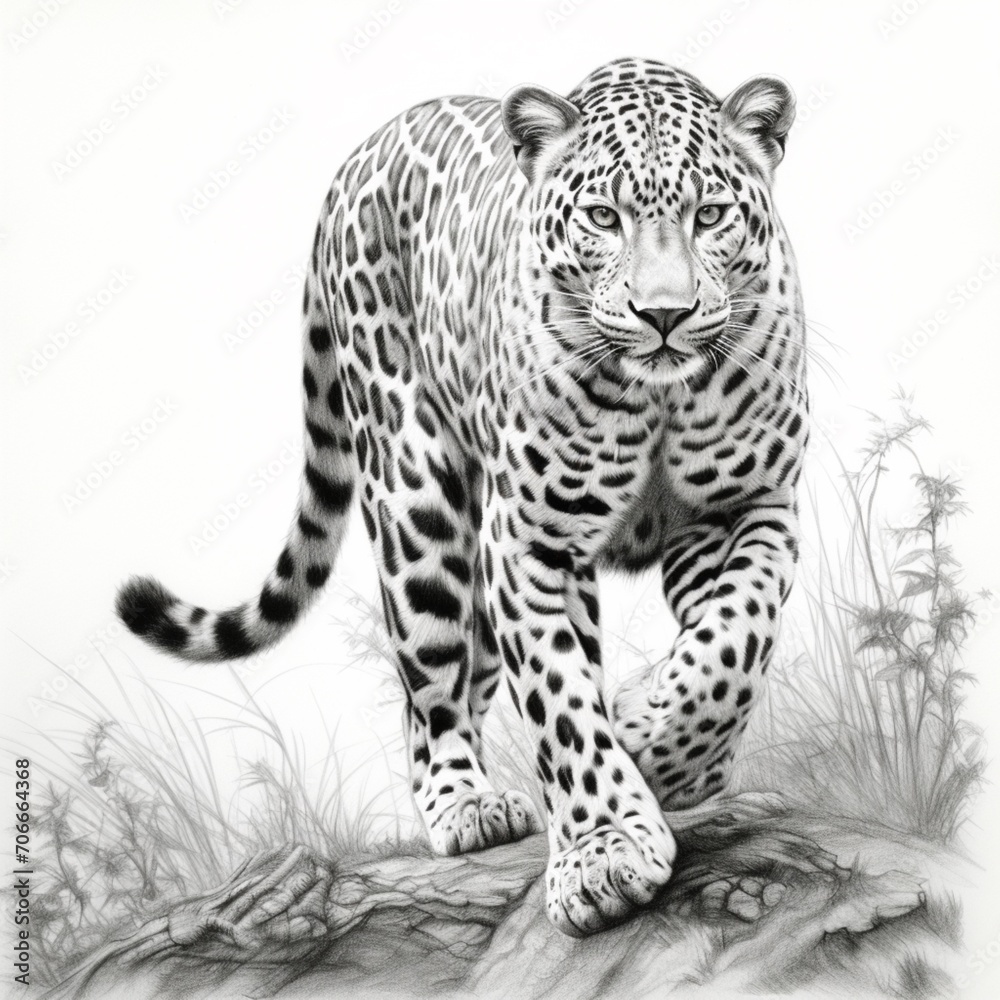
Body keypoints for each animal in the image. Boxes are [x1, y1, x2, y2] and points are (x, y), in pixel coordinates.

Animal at [117, 56, 808, 937]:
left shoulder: (748, 508)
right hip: (419, 508)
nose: (664, 314)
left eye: (711, 214)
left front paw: (663, 743)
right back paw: (467, 804)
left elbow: (733, 641)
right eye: (604, 217)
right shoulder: (530, 542)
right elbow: (558, 698)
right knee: (433, 690)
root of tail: (359, 156)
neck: (658, 397)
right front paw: (605, 853)